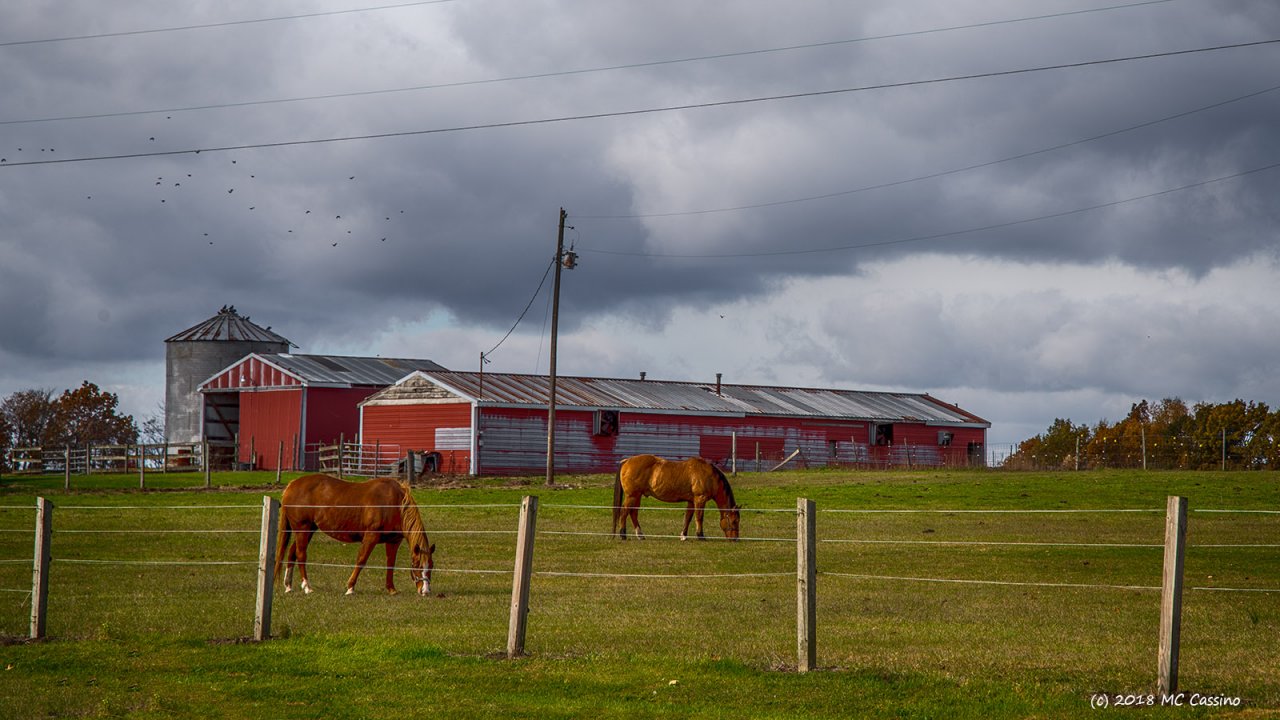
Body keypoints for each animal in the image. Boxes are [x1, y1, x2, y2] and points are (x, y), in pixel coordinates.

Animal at [275, 471, 435, 594]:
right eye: (417, 565)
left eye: (431, 565)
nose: (425, 591)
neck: (394, 503)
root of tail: (292, 485)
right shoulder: (371, 536)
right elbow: (361, 560)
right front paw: (350, 587)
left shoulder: (393, 541)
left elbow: (391, 563)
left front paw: (391, 589)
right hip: (303, 528)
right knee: (301, 554)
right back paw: (307, 587)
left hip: (308, 529)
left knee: (292, 552)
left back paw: (288, 586)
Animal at [611, 453, 742, 538]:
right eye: (734, 521)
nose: (735, 539)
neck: (709, 475)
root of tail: (626, 461)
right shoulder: (700, 499)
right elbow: (699, 517)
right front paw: (700, 536)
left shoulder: (691, 501)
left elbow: (688, 517)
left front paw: (683, 535)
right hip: (632, 496)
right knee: (624, 512)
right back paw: (622, 534)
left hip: (637, 496)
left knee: (633, 513)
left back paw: (640, 535)